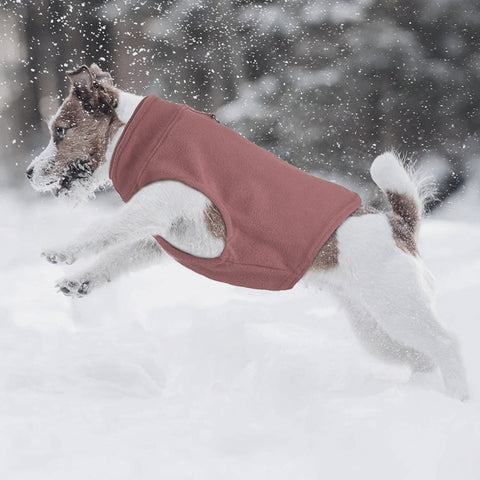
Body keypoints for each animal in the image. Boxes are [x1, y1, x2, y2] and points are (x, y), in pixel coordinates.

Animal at [26, 64, 468, 402]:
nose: (29, 172)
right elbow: (116, 255)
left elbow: (103, 227)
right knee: (424, 356)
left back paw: (458, 401)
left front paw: (62, 250)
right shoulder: (161, 239)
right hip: (377, 330)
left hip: (398, 309)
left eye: (60, 131)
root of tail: (399, 227)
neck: (132, 134)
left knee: (448, 344)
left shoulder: (161, 201)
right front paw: (79, 281)